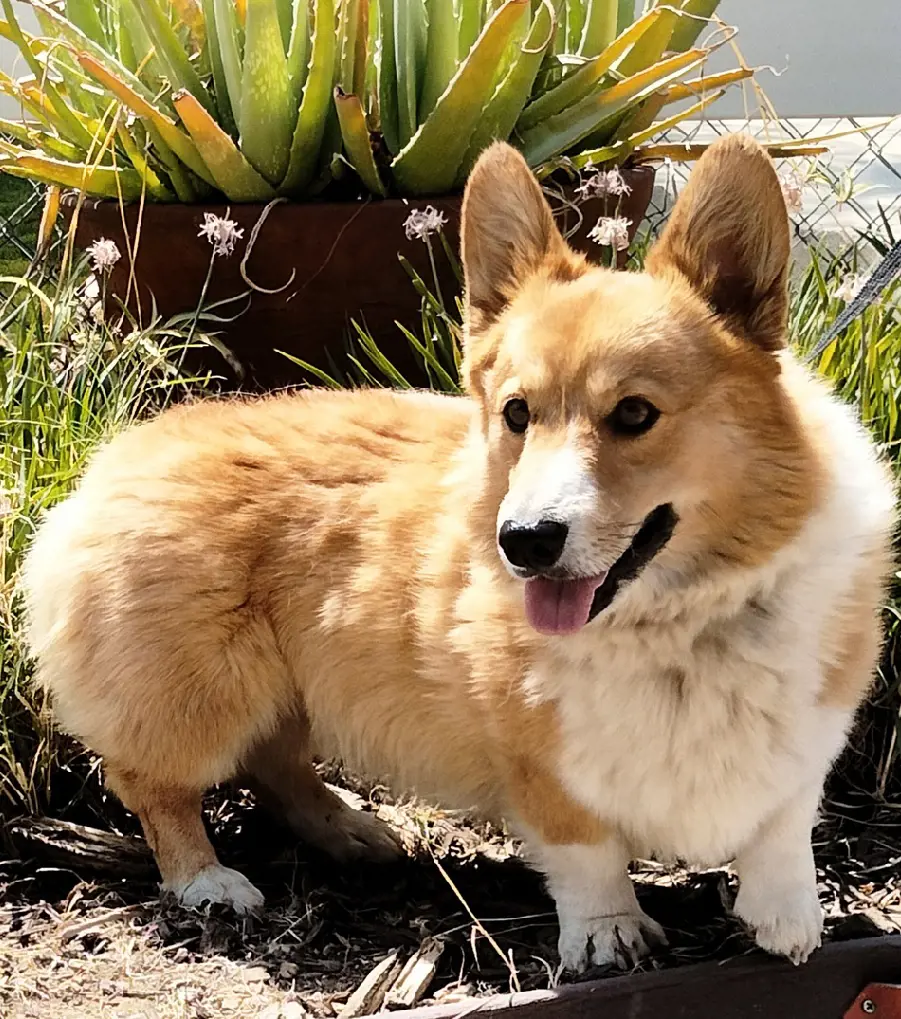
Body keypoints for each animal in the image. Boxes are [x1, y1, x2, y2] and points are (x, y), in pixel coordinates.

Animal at [21, 137, 892, 970]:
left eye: (635, 413)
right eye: (516, 413)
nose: (524, 542)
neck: (682, 618)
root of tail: (121, 452)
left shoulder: (804, 737)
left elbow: (782, 826)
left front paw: (788, 920)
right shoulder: (539, 760)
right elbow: (586, 852)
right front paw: (606, 934)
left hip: (287, 688)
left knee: (278, 765)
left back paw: (351, 832)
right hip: (204, 693)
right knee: (155, 782)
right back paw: (207, 879)